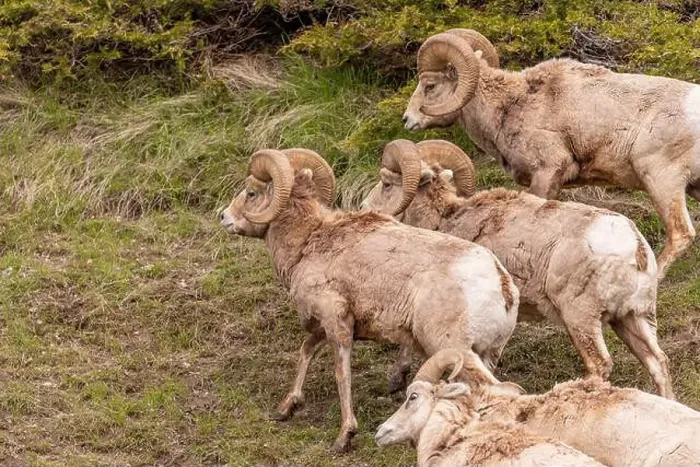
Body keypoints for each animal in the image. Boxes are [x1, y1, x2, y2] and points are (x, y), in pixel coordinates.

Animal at [218, 144, 520, 452]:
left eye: (251, 193)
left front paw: (344, 436)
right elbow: (306, 351)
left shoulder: (337, 322)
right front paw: (286, 408)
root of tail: (500, 283)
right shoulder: (324, 325)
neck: (307, 243)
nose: (223, 216)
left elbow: (342, 373)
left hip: (453, 348)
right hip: (487, 352)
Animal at [362, 139, 673, 399]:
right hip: (633, 317)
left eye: (386, 183)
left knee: (600, 365)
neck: (445, 219)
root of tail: (633, 246)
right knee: (658, 362)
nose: (365, 206)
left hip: (581, 319)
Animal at [402, 28, 700, 279]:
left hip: (661, 181)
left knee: (680, 234)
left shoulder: (546, 173)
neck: (511, 104)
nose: (407, 119)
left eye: (429, 86)